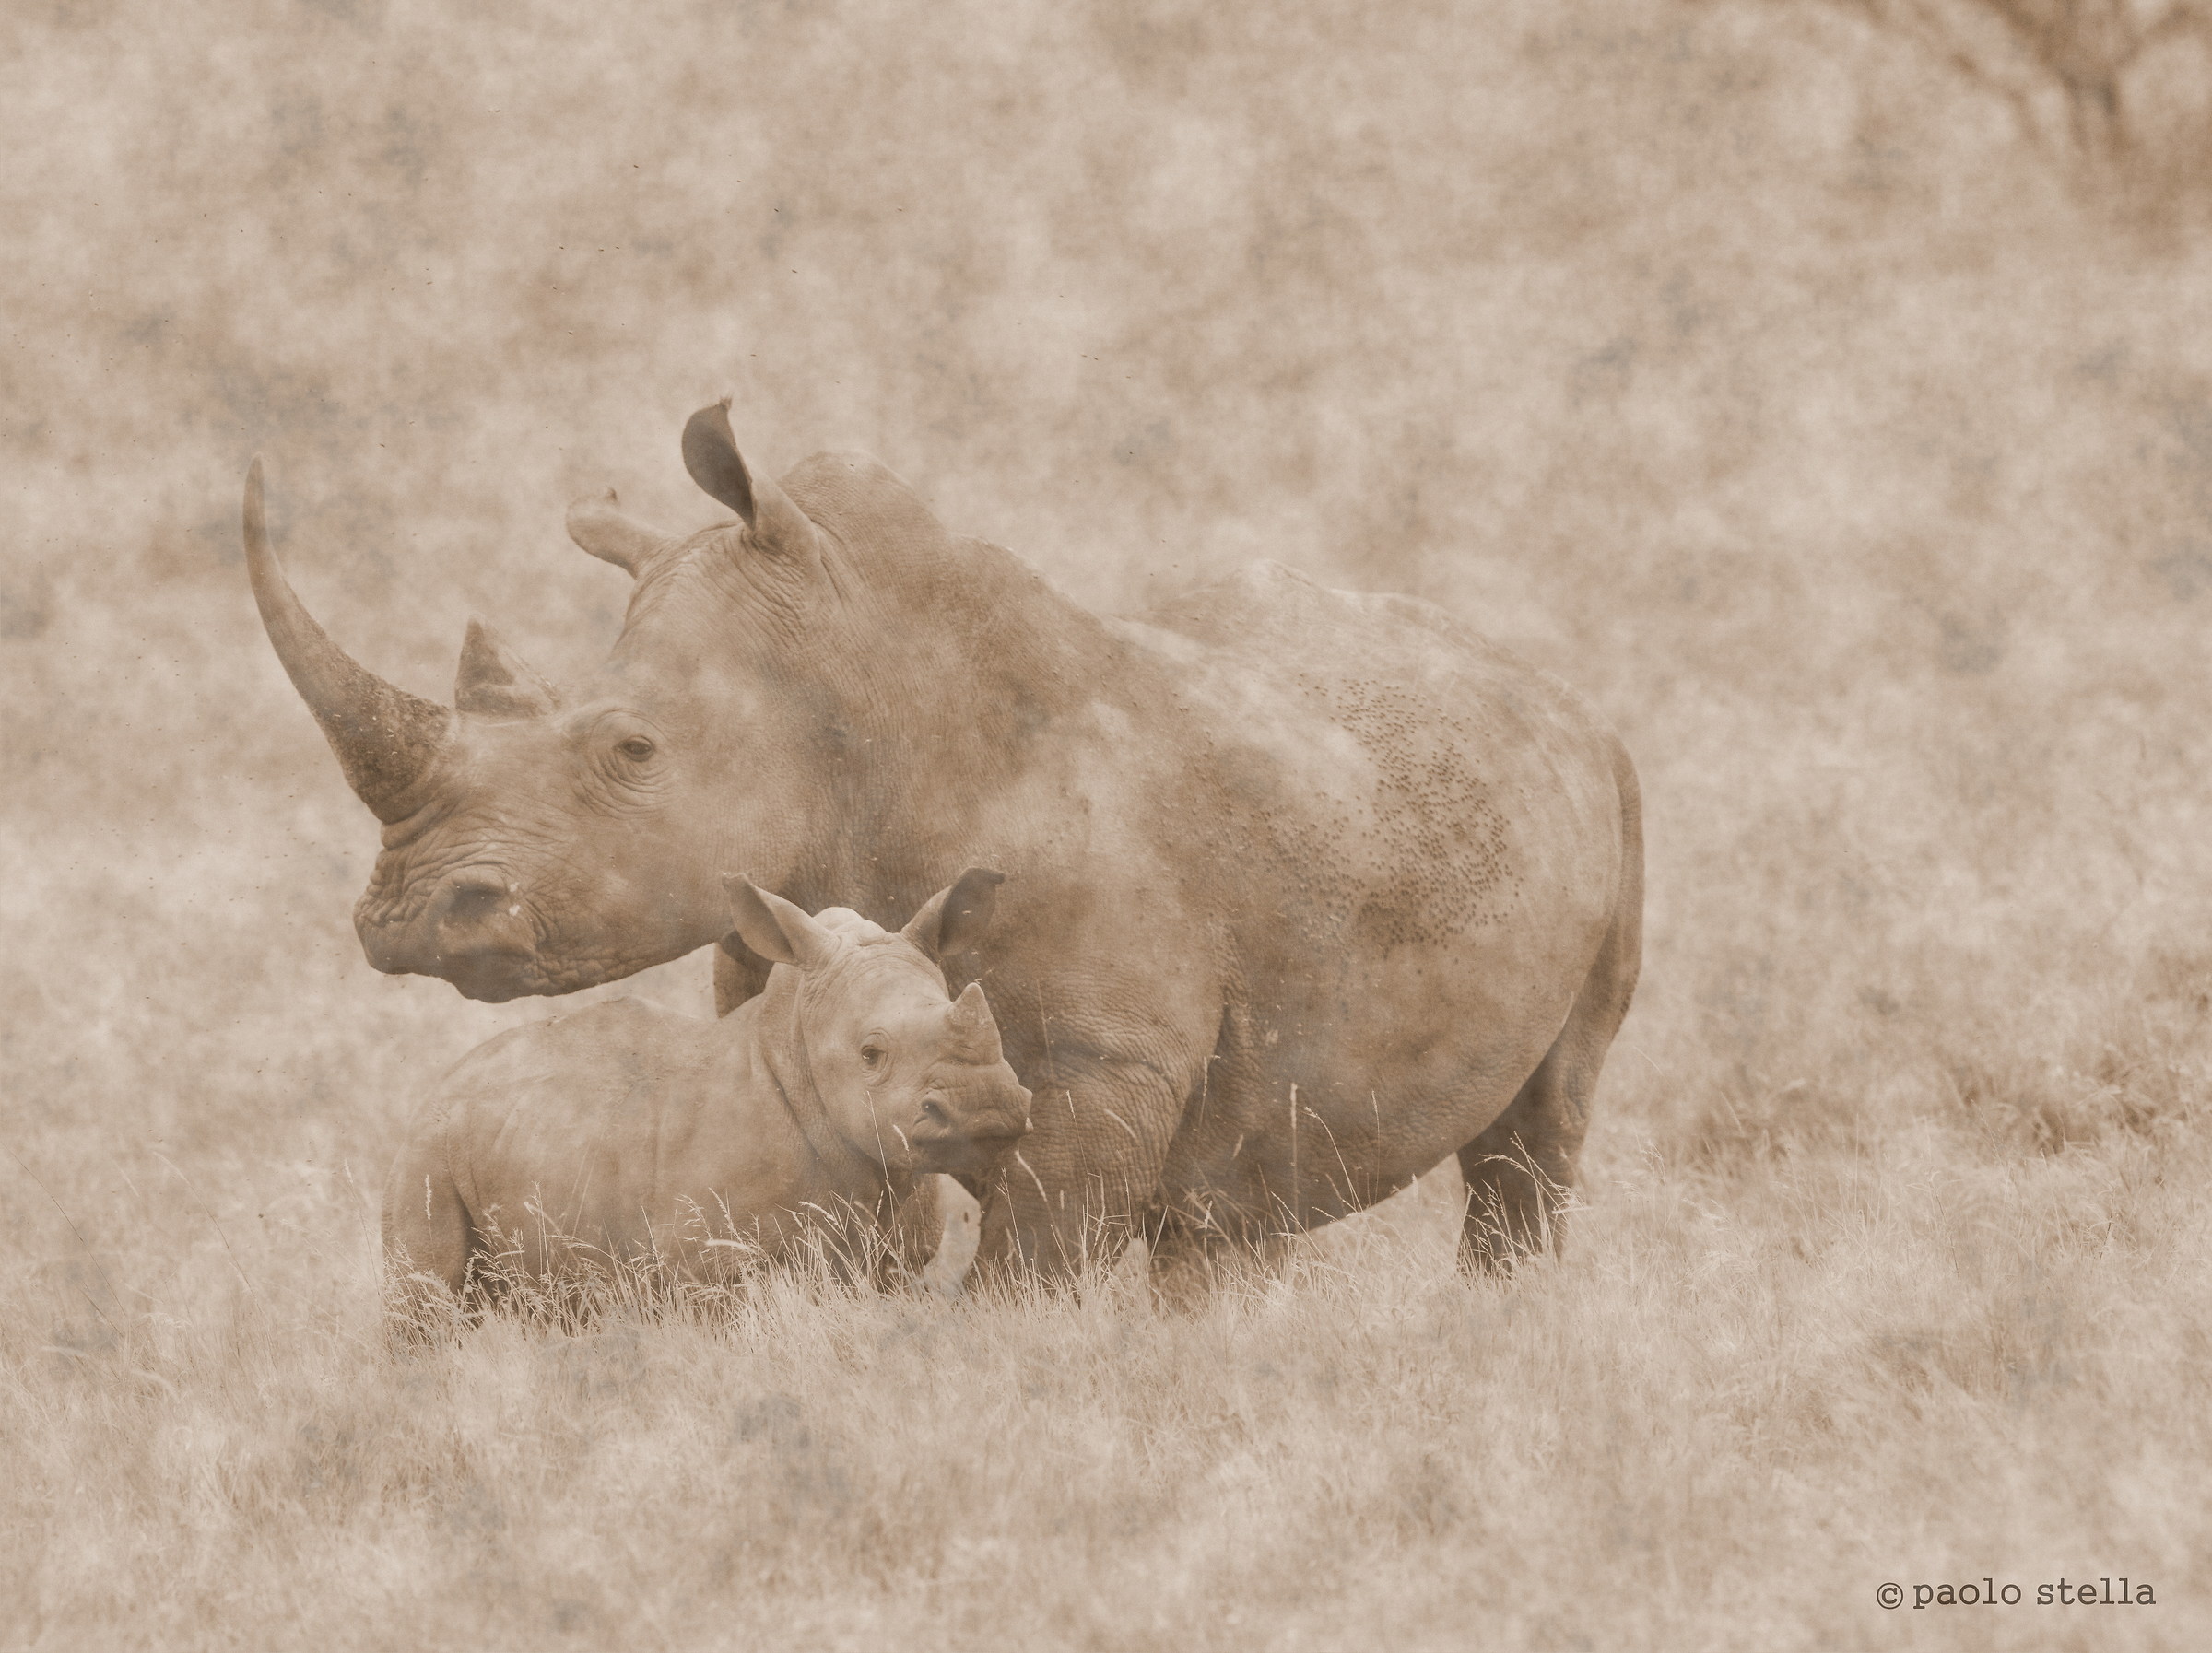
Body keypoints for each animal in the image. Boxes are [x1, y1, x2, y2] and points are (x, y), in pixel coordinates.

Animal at [382, 868, 1031, 1320]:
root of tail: (446, 1080)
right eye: (871, 1056)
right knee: (426, 1297)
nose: (988, 1106)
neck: (795, 1047)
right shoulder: (708, 1264)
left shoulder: (895, 1254)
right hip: (427, 1147)